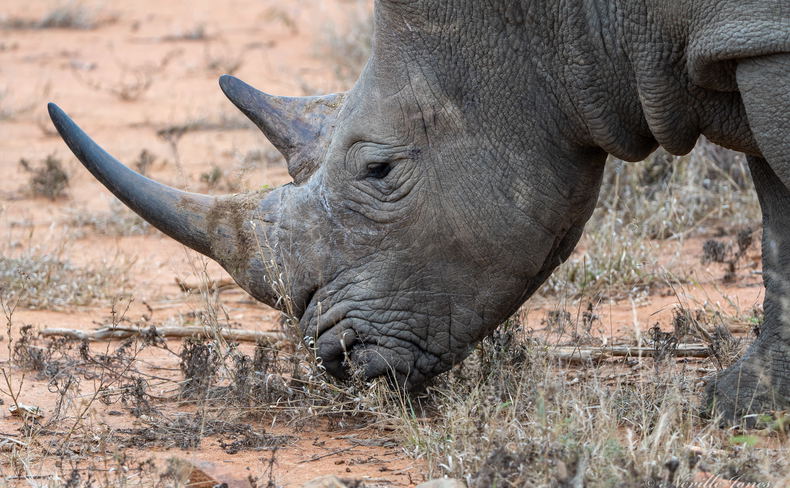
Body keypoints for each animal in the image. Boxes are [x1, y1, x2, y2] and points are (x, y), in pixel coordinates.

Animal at [48, 0, 789, 421]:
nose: (336, 357)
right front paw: (743, 407)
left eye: (379, 171)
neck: (568, 17)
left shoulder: (763, 38)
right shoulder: (748, 43)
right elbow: (777, 216)